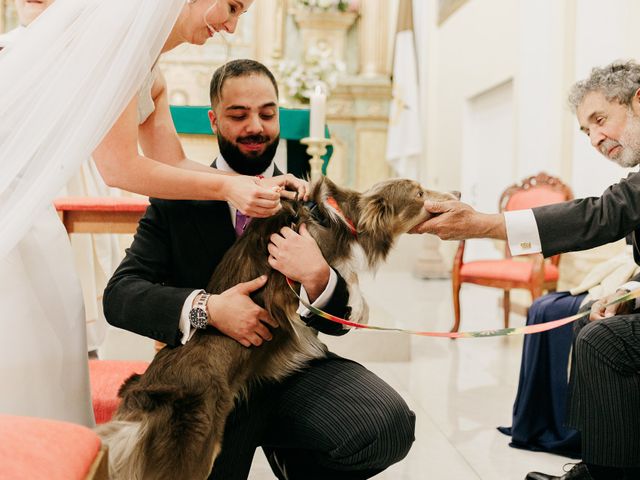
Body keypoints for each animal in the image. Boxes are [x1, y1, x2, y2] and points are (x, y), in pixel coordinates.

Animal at [96, 177, 460, 480]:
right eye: (419, 194)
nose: (458, 193)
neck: (337, 215)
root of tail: (141, 402)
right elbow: (347, 279)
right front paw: (355, 302)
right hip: (194, 451)